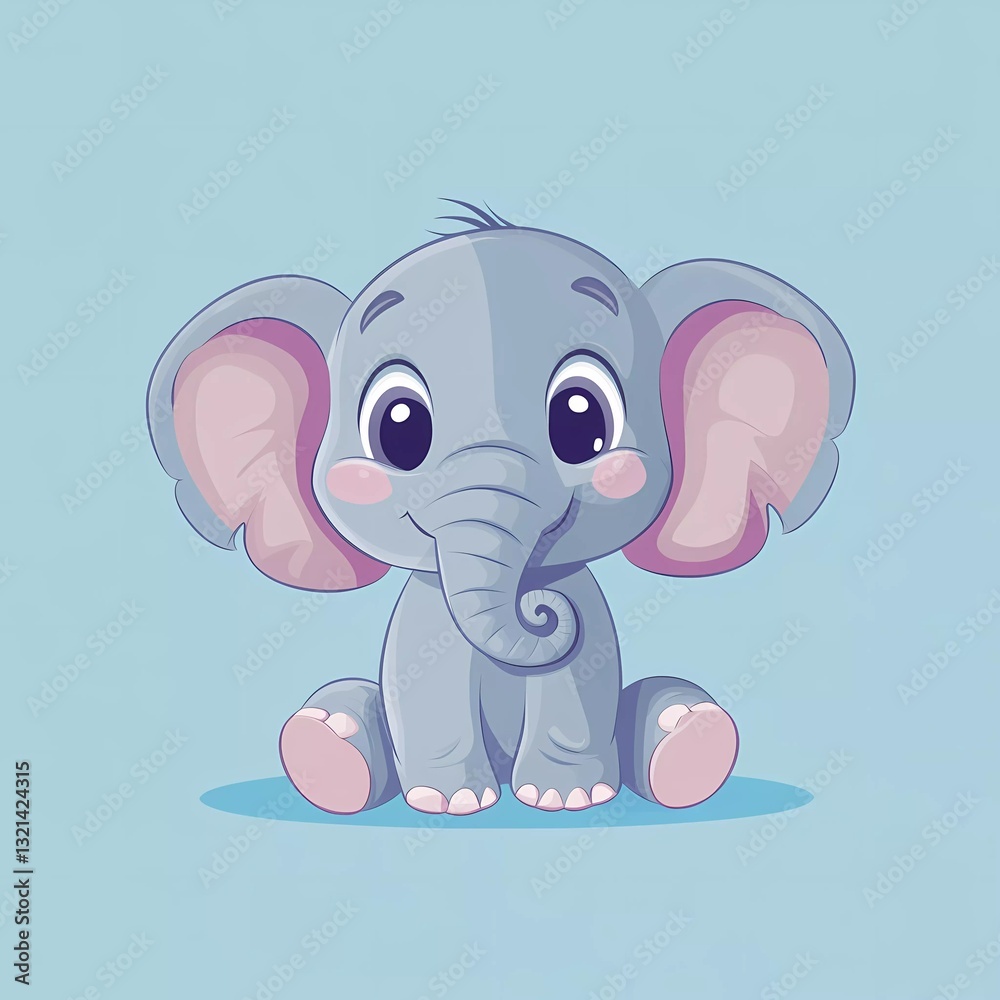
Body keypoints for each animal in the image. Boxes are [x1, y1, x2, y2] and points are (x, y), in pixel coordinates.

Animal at [147, 200, 854, 816]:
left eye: (582, 419)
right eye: (398, 426)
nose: (543, 610)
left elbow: (580, 681)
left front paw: (567, 800)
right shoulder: (424, 624)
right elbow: (424, 684)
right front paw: (449, 804)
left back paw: (690, 740)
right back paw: (327, 747)